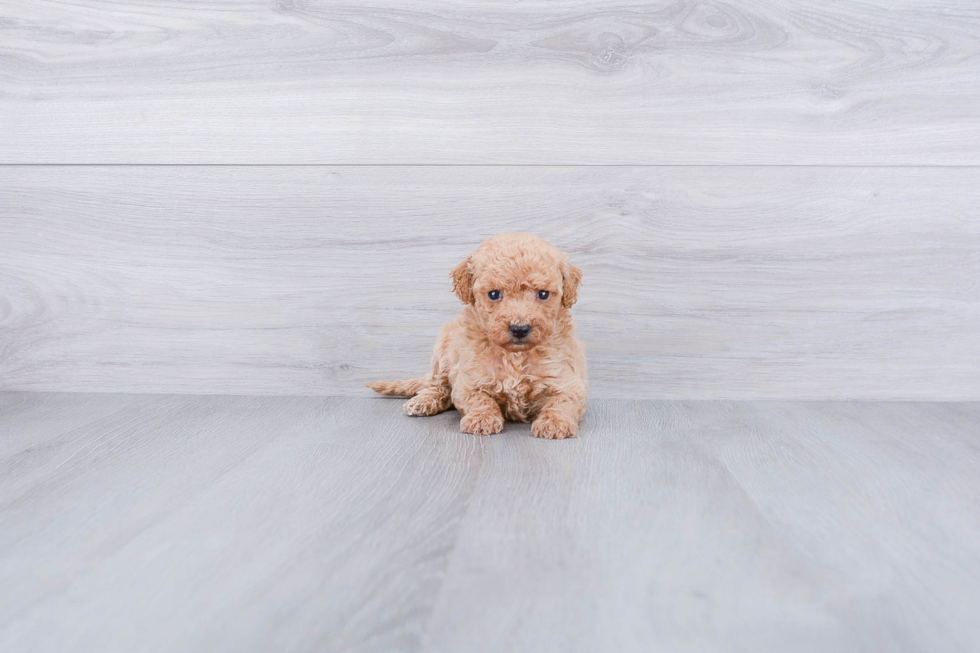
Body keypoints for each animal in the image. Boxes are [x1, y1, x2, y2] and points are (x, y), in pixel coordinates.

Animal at [366, 233, 580, 438]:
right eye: (494, 294)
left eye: (543, 294)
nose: (519, 329)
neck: (515, 355)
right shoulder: (468, 382)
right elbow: (480, 399)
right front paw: (482, 419)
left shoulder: (567, 381)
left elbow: (562, 402)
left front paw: (554, 423)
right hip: (443, 349)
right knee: (438, 386)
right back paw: (424, 401)